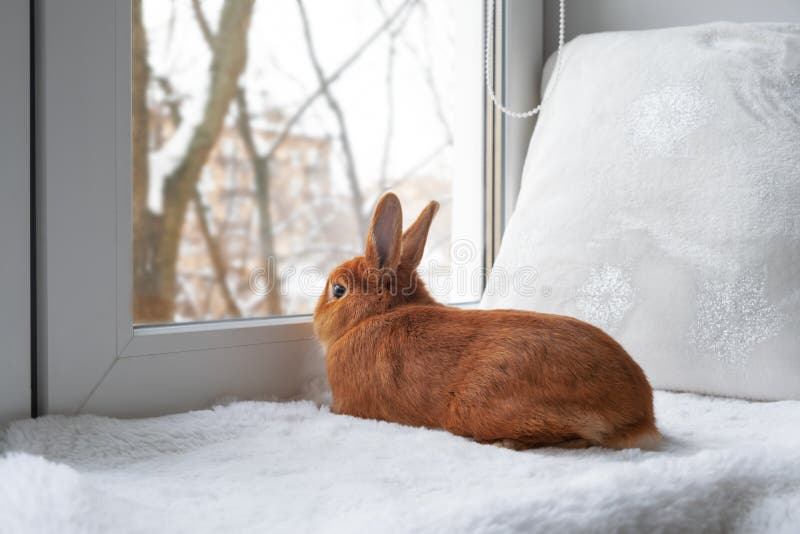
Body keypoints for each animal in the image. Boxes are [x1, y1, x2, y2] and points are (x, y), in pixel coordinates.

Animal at [316, 193, 660, 452]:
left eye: (338, 290)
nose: (316, 318)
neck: (377, 314)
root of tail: (640, 416)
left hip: (473, 407)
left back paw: (505, 443)